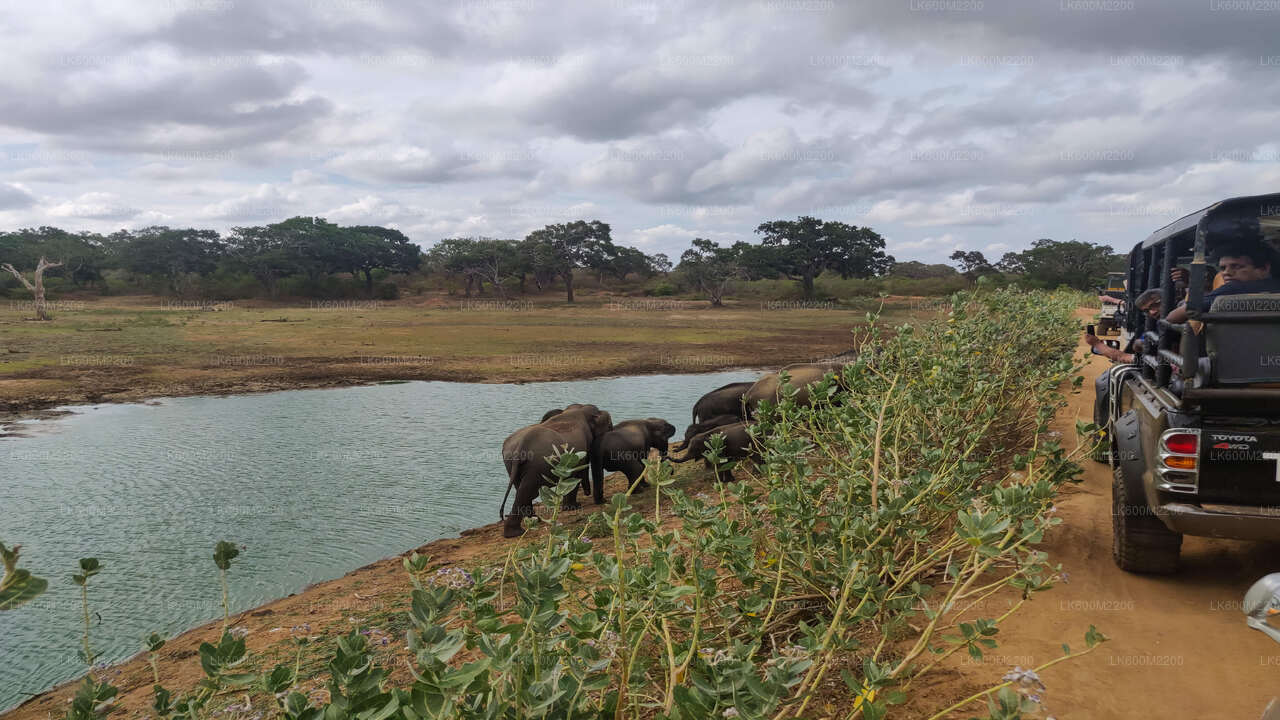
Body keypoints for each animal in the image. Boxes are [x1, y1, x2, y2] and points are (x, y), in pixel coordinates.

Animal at [501, 399, 611, 535]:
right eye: (609, 426)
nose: (588, 493)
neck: (580, 409)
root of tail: (521, 445)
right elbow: (576, 473)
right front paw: (573, 507)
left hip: (511, 463)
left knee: (521, 490)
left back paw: (533, 521)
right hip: (537, 466)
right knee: (526, 490)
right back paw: (517, 532)